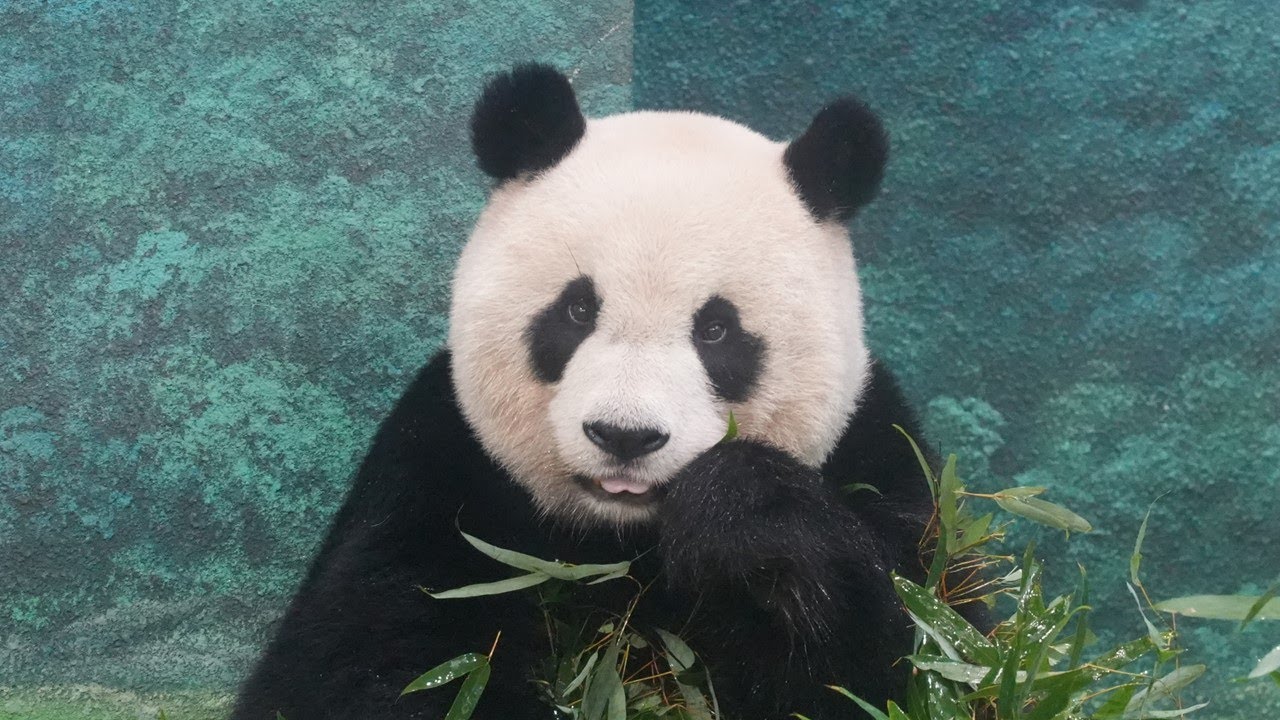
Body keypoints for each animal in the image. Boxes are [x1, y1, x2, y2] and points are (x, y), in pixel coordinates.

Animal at [233, 64, 942, 720]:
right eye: (576, 311)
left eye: (716, 330)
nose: (625, 436)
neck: (619, 543)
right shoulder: (437, 463)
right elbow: (368, 656)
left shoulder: (879, 451)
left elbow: (892, 658)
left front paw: (742, 518)